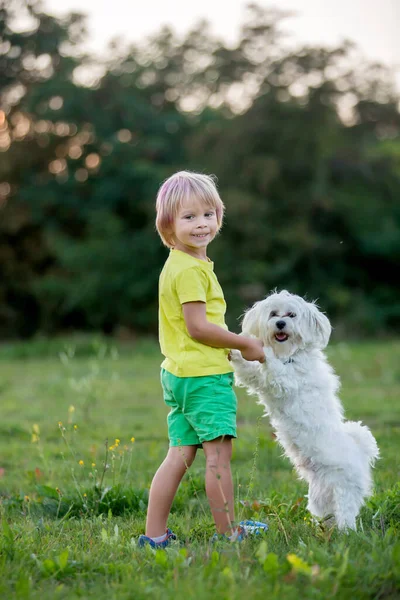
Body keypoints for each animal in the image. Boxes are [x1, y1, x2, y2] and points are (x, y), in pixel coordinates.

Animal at [230, 290, 380, 528]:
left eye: (292, 315)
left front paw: (262, 351)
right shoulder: (260, 379)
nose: (280, 323)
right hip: (320, 498)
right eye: (274, 314)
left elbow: (271, 365)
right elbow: (250, 370)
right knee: (327, 515)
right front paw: (236, 353)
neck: (289, 356)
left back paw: (346, 532)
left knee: (346, 516)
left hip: (345, 491)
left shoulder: (285, 380)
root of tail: (360, 453)